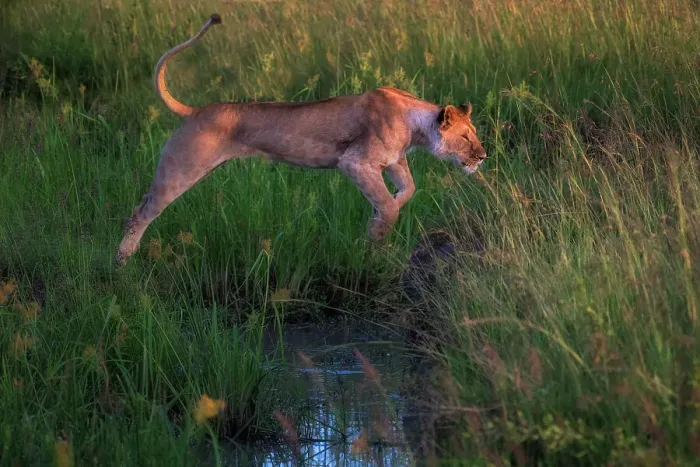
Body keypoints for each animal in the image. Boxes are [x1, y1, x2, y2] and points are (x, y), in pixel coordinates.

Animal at [115, 13, 487, 267]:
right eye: (467, 137)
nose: (483, 156)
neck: (415, 124)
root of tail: (196, 111)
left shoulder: (393, 160)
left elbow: (406, 190)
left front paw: (382, 213)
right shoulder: (355, 162)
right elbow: (388, 204)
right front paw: (375, 234)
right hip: (181, 169)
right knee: (140, 212)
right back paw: (122, 262)